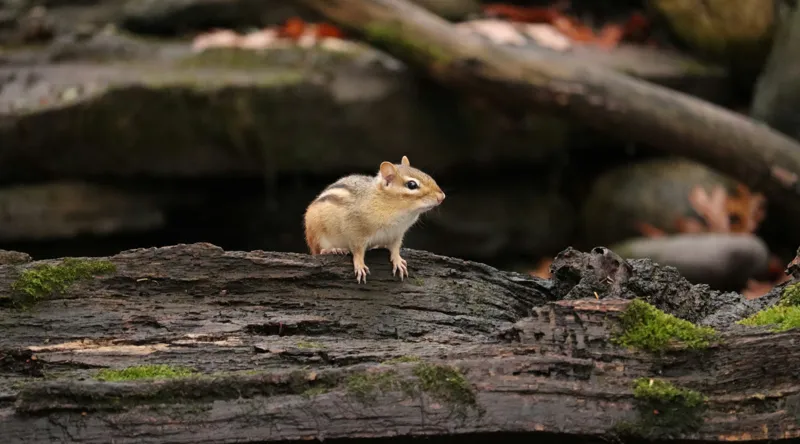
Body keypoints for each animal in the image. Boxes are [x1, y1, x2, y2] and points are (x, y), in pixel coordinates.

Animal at [304, 156, 446, 284]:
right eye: (412, 185)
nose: (442, 197)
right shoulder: (356, 230)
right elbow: (357, 250)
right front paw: (360, 265)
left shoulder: (397, 233)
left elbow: (395, 248)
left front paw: (398, 260)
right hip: (316, 231)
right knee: (318, 250)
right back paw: (334, 249)